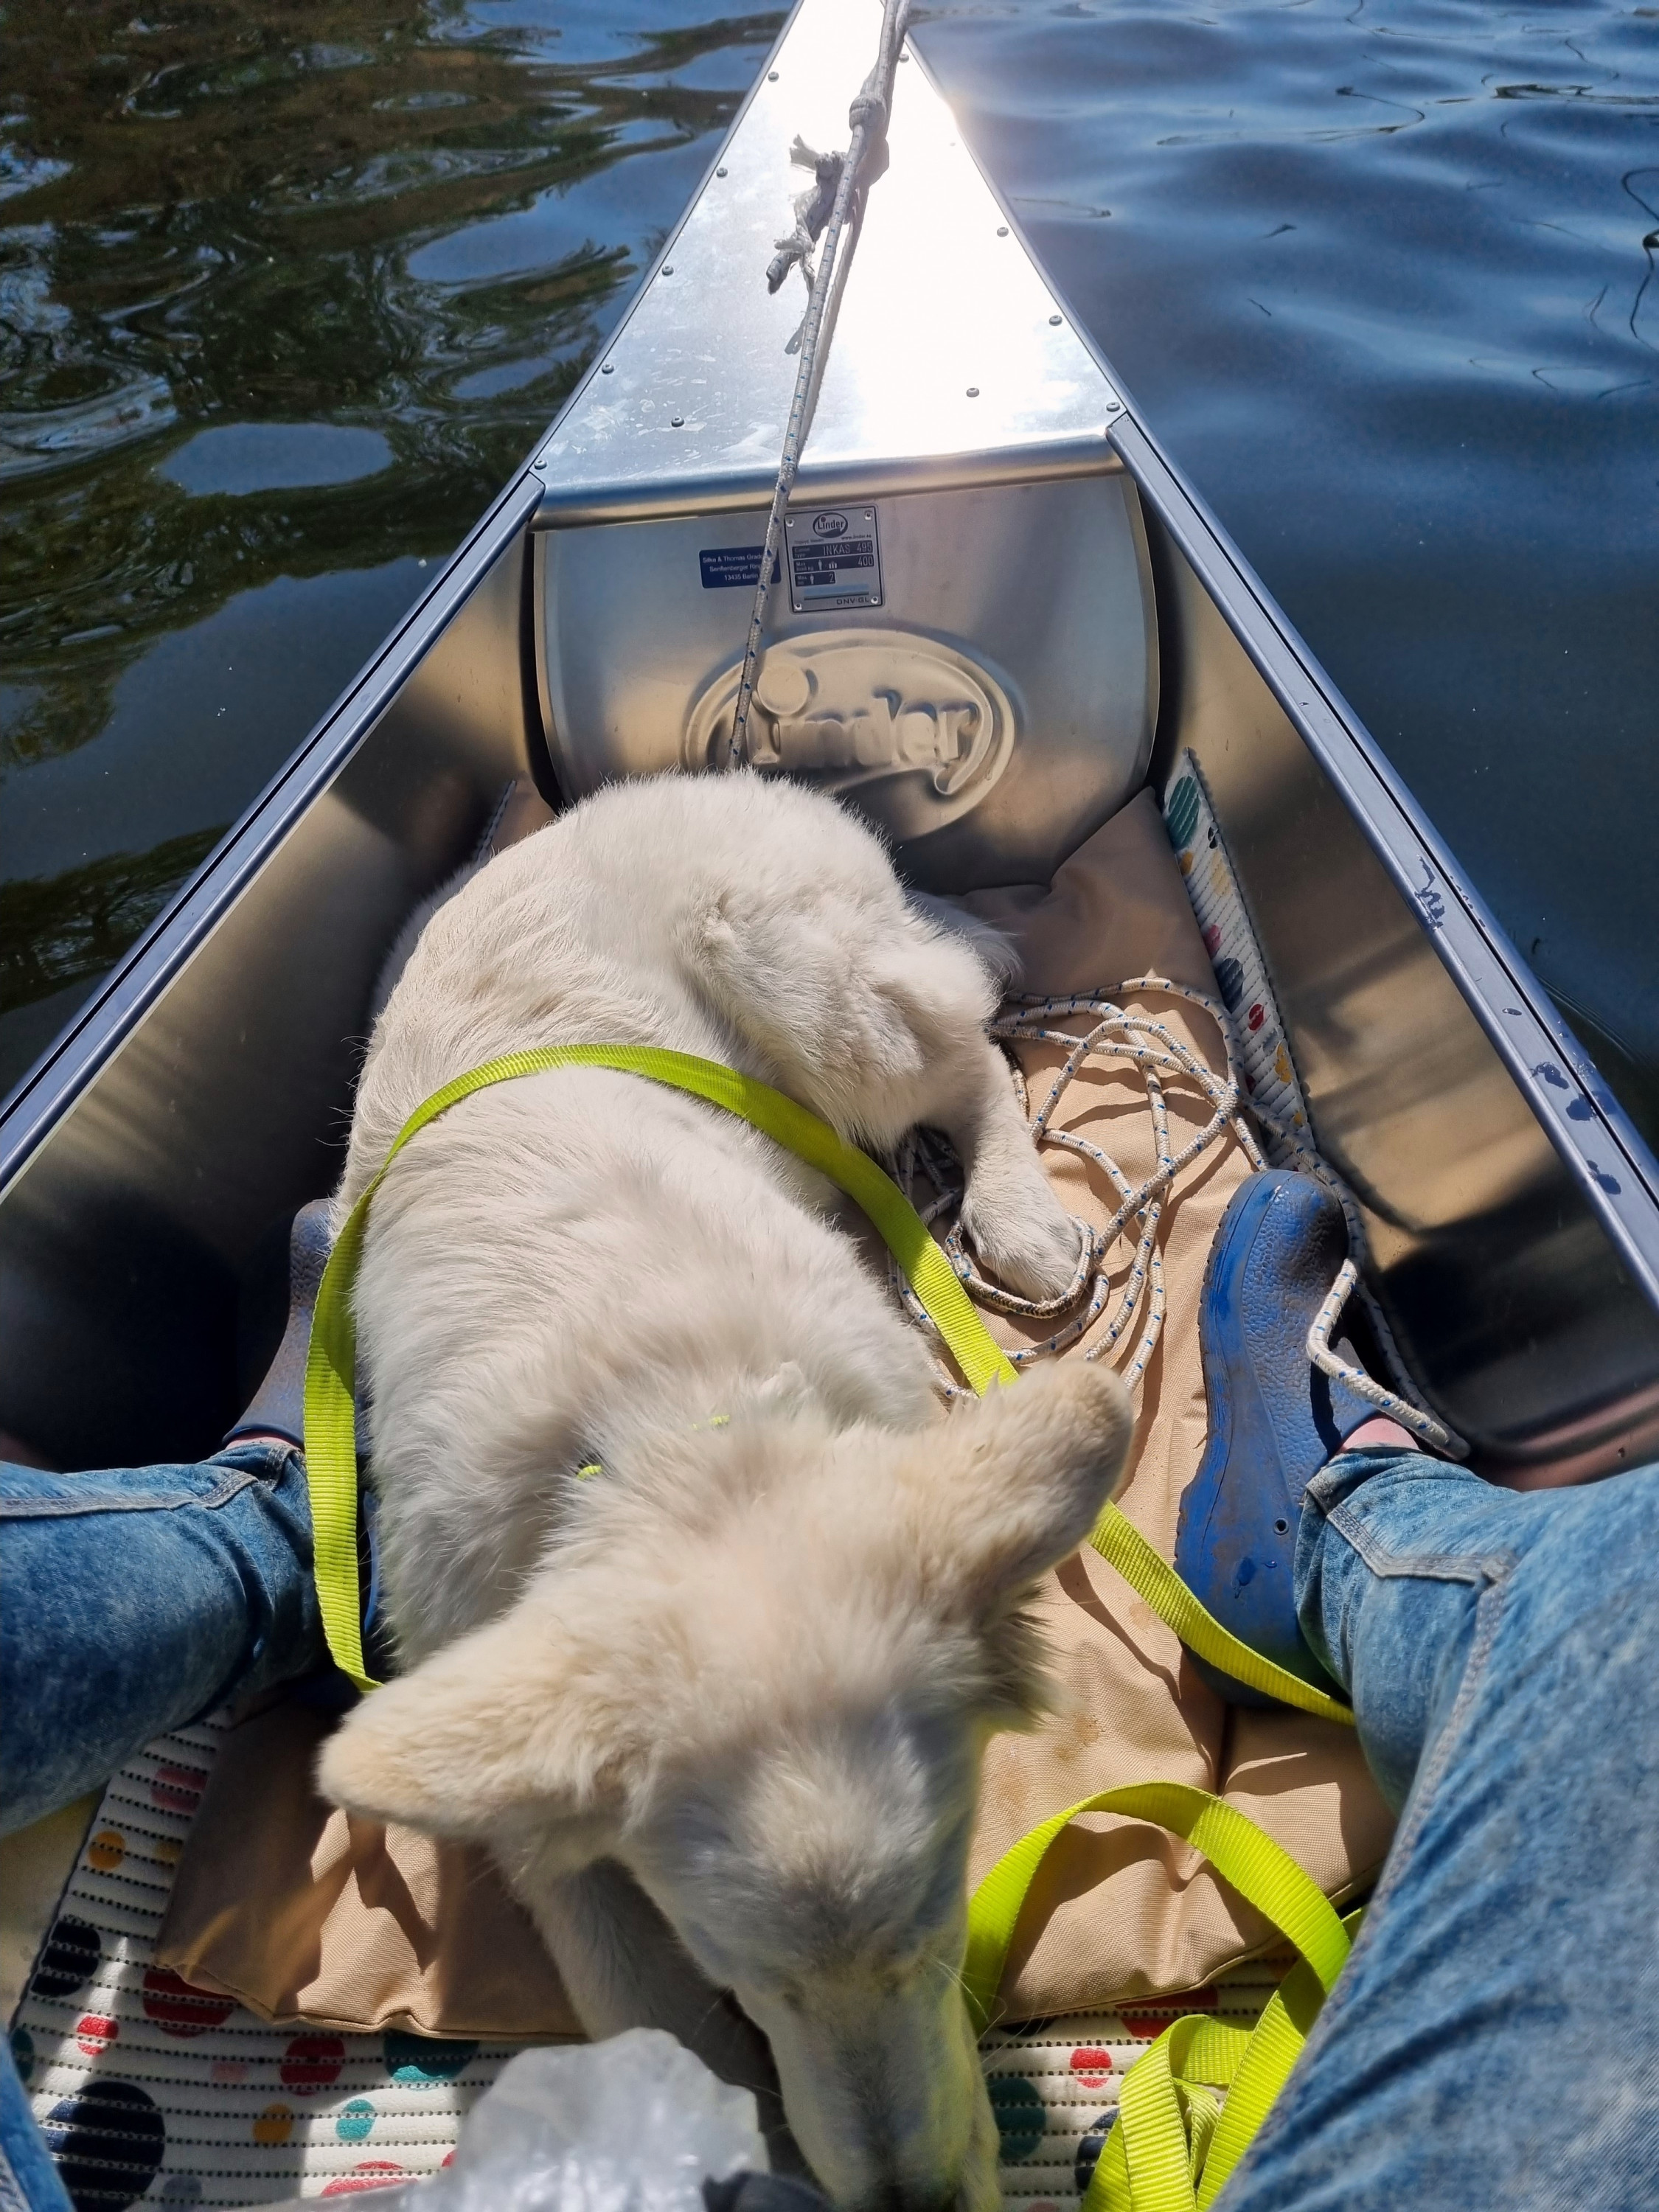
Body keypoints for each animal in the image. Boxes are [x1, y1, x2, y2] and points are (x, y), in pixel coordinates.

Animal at [319, 770, 1141, 2203]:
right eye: (751, 1982)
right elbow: (641, 2011)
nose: (917, 2202)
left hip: (798, 978)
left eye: (939, 1929)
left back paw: (1017, 1218)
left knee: (970, 1060)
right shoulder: (529, 1781)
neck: (677, 1449)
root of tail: (724, 776)